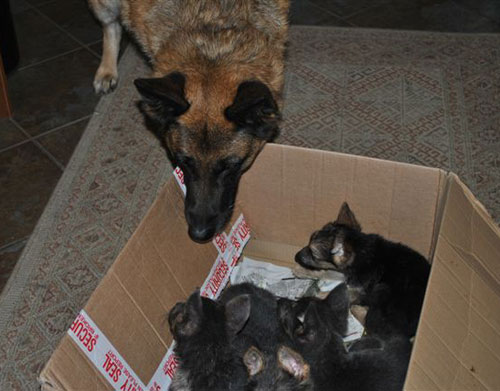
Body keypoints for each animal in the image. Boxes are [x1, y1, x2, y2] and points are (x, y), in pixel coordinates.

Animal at [88, 0, 288, 242]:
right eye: (182, 161)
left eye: (231, 166)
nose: (199, 233)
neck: (214, 32)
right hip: (106, 6)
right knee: (110, 25)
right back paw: (107, 69)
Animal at [294, 204, 432, 338]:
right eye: (310, 239)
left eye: (314, 254)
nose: (295, 256)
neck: (360, 249)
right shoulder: (347, 273)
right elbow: (329, 272)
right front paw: (302, 271)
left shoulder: (361, 288)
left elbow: (345, 292)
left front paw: (319, 295)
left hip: (381, 290)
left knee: (375, 327)